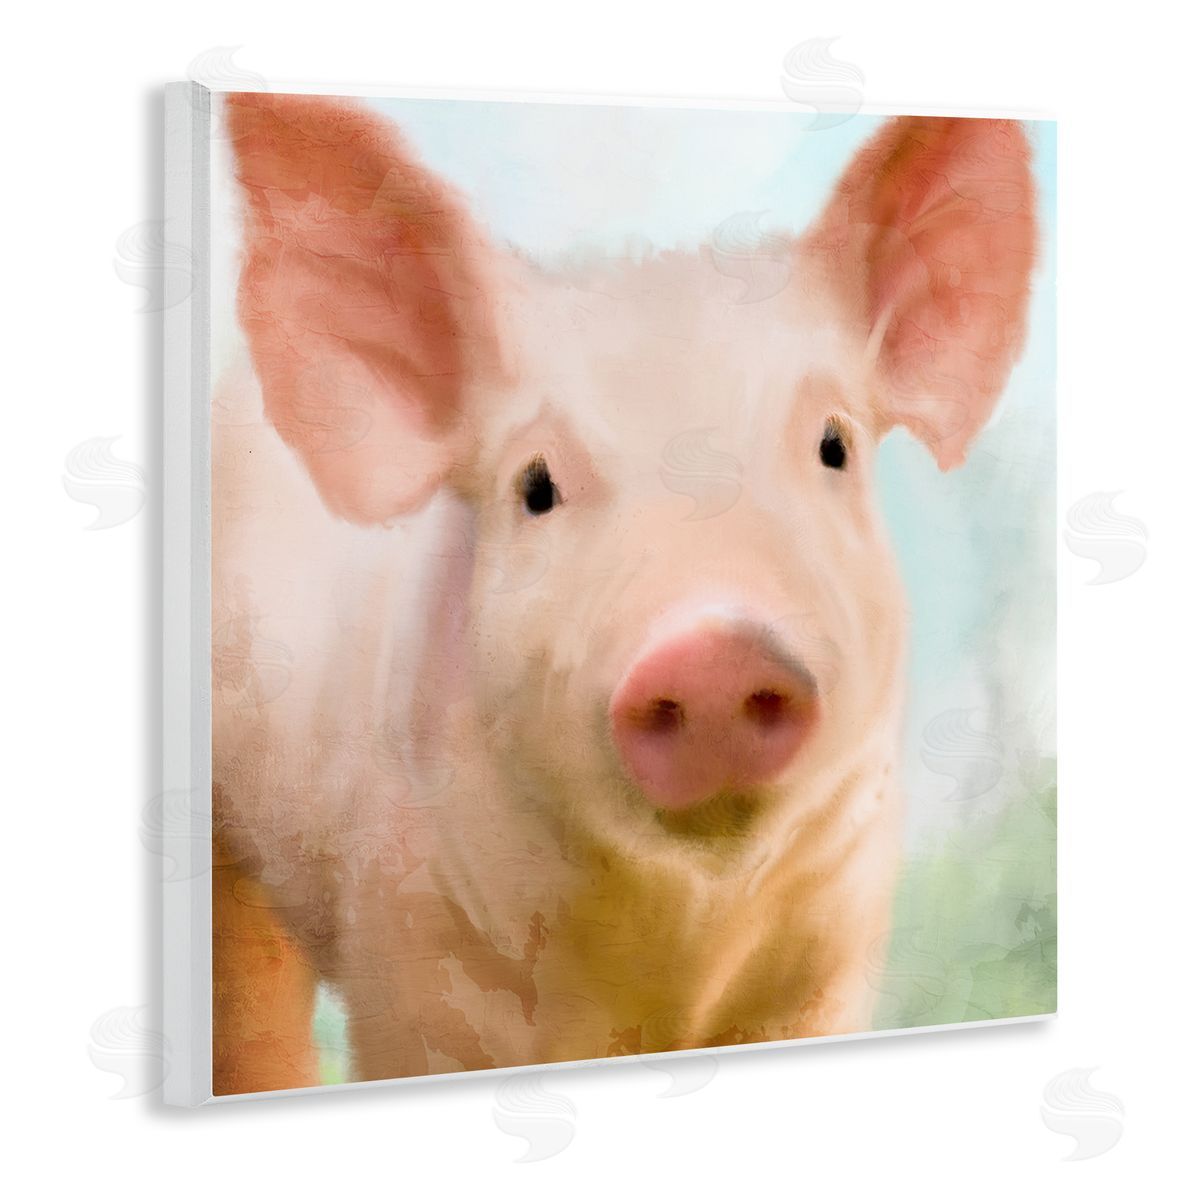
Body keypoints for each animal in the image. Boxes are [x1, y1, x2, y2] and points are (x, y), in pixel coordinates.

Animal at [211, 92, 1036, 1094]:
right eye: (536, 486)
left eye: (834, 445)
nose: (714, 648)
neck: (674, 950)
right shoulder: (403, 955)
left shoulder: (831, 957)